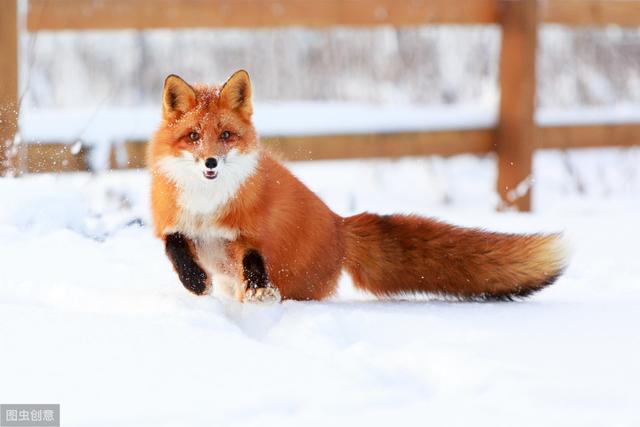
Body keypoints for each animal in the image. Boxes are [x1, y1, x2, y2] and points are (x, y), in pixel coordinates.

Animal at [148, 70, 568, 302]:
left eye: (225, 135)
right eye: (194, 135)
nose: (211, 163)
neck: (207, 205)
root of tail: (340, 225)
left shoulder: (247, 234)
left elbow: (253, 262)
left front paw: (257, 292)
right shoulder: (173, 223)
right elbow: (175, 247)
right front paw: (195, 281)